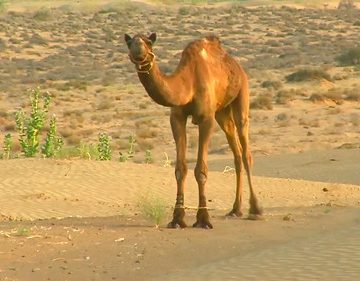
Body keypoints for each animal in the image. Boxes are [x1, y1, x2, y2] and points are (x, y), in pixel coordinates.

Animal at [125, 32, 262, 228]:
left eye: (149, 41)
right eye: (129, 42)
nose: (137, 46)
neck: (187, 84)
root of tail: (237, 66)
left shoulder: (206, 119)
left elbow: (201, 170)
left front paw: (203, 219)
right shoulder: (177, 118)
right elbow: (180, 169)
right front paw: (177, 219)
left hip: (242, 95)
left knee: (245, 151)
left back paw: (255, 210)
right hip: (221, 113)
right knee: (236, 152)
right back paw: (235, 210)